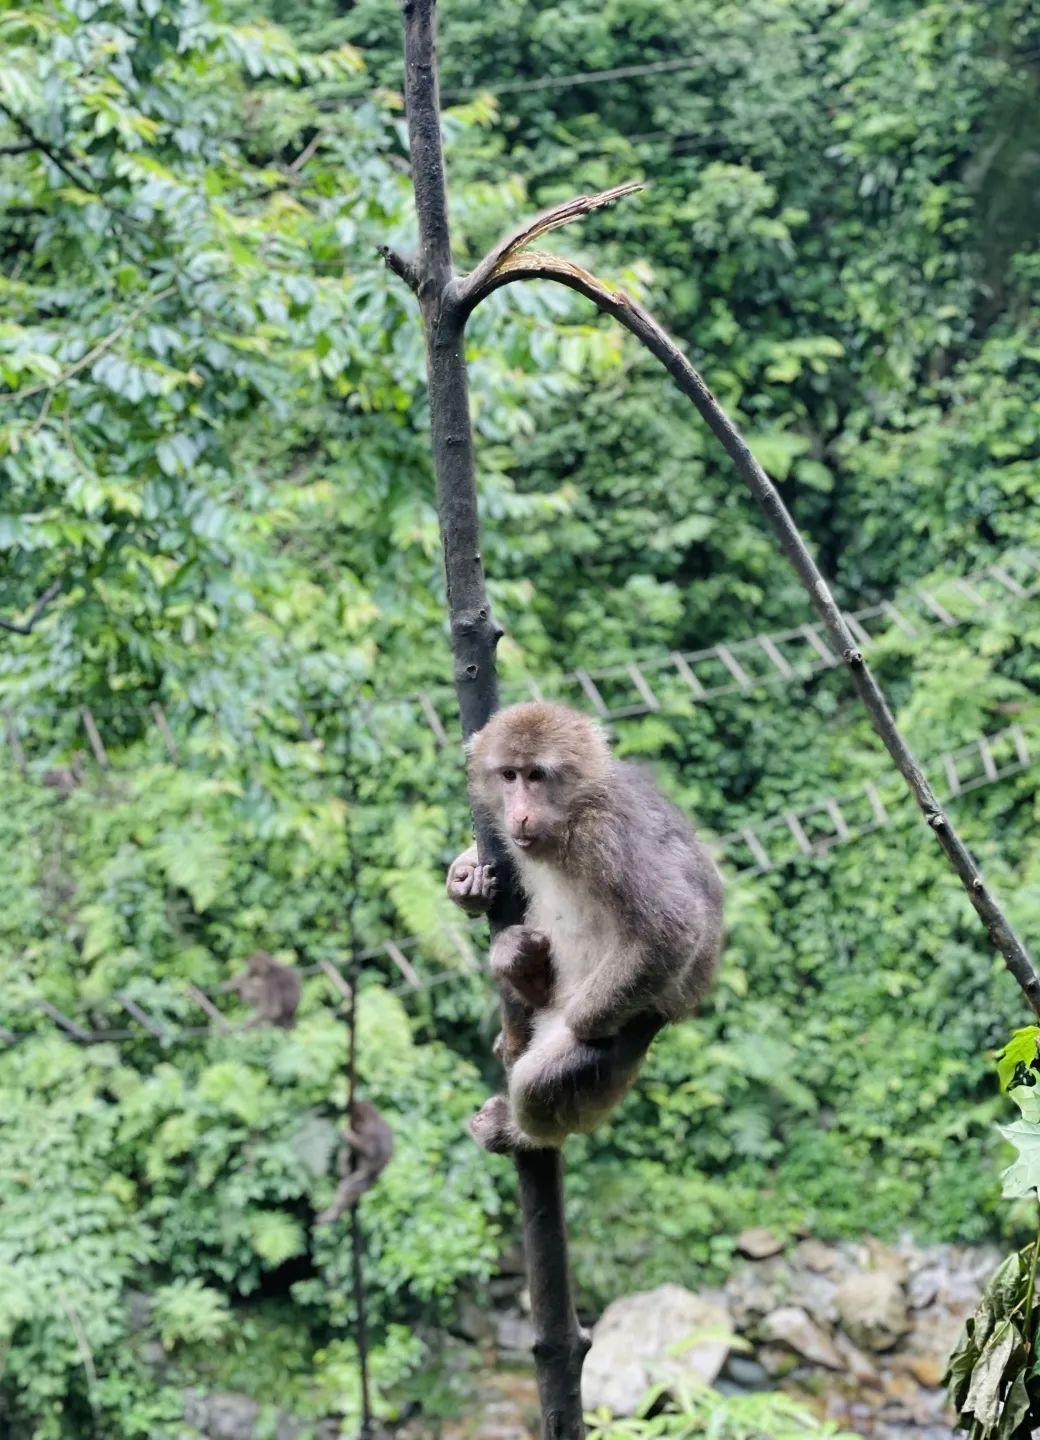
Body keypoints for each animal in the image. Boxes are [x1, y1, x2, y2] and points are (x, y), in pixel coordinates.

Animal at [443, 702, 720, 1152]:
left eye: (537, 775)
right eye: (509, 775)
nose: (519, 813)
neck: (569, 817)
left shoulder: (607, 834)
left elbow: (675, 925)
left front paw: (581, 1023)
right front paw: (466, 881)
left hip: (634, 1022)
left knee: (540, 1079)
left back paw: (521, 1132)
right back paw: (523, 970)